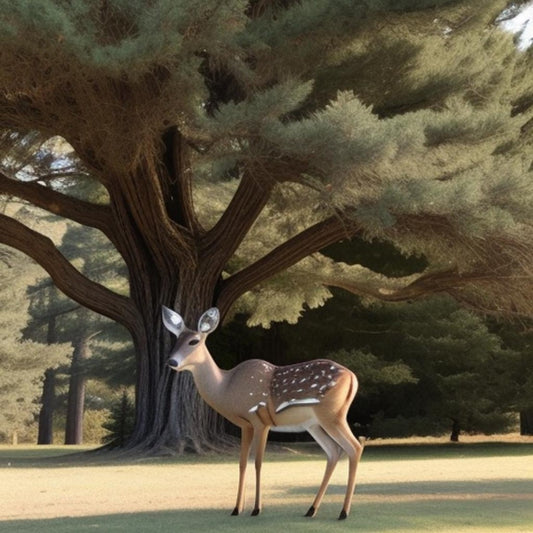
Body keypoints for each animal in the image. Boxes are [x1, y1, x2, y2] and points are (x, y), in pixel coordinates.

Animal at [160, 306, 364, 516]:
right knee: (334, 451)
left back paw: (343, 513)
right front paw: (237, 508)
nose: (171, 362)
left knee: (354, 447)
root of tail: (353, 378)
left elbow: (258, 462)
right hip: (314, 424)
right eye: (176, 339)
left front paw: (256, 509)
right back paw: (311, 510)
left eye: (194, 341)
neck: (226, 388)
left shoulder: (260, 420)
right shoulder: (245, 425)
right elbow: (242, 462)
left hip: (332, 415)